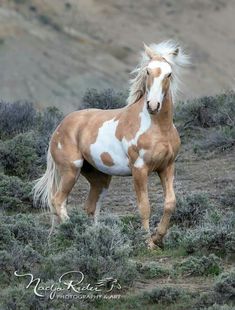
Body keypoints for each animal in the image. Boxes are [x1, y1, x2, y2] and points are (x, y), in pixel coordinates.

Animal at [33, 40, 189, 249]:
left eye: (169, 74)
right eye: (148, 71)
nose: (153, 105)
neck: (158, 128)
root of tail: (59, 127)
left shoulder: (167, 167)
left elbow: (170, 203)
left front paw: (158, 238)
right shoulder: (140, 170)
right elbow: (144, 206)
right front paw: (148, 243)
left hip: (100, 178)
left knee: (89, 207)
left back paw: (93, 235)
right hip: (71, 170)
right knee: (58, 201)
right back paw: (77, 231)